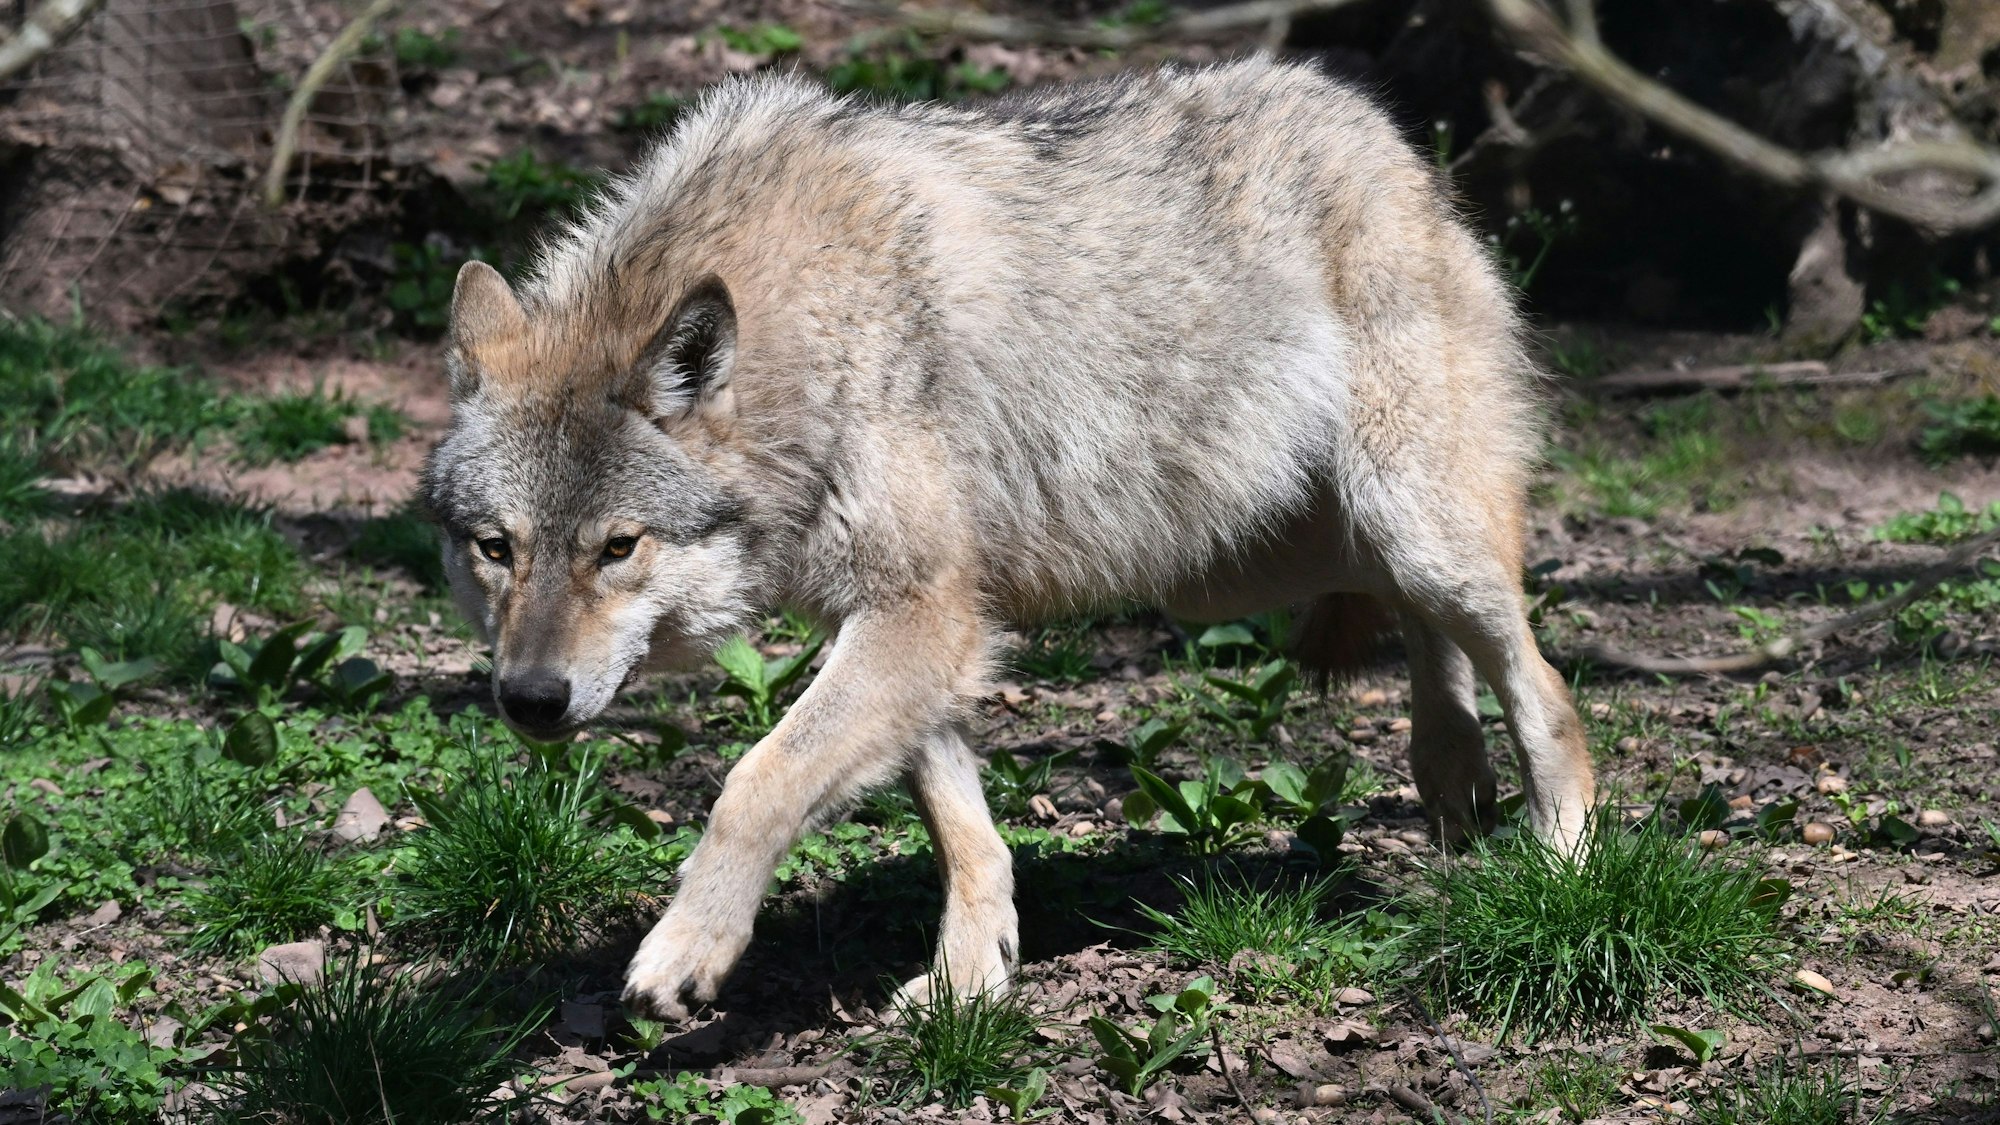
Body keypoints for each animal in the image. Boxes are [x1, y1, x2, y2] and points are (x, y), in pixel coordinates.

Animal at [421, 57, 1595, 1019]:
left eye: (617, 547)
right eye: (496, 549)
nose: (529, 700)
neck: (813, 337)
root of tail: (1382, 130)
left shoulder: (922, 611)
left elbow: (756, 781)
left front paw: (686, 949)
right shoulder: (920, 622)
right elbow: (961, 828)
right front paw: (967, 979)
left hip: (1398, 523)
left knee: (1543, 683)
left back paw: (1562, 863)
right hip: (1239, 563)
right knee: (1416, 620)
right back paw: (1450, 774)